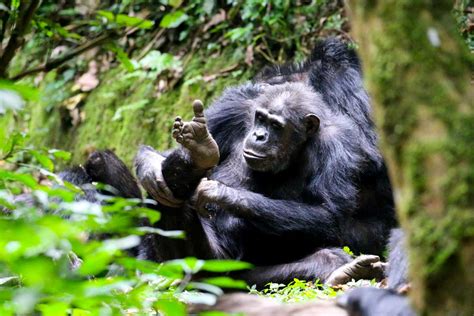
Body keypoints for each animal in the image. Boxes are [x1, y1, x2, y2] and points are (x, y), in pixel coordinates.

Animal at [133, 39, 396, 286]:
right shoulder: (233, 106)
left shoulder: (339, 135)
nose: (260, 135)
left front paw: (220, 194)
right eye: (260, 117)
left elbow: (330, 211)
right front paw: (151, 168)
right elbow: (166, 150)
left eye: (276, 125)